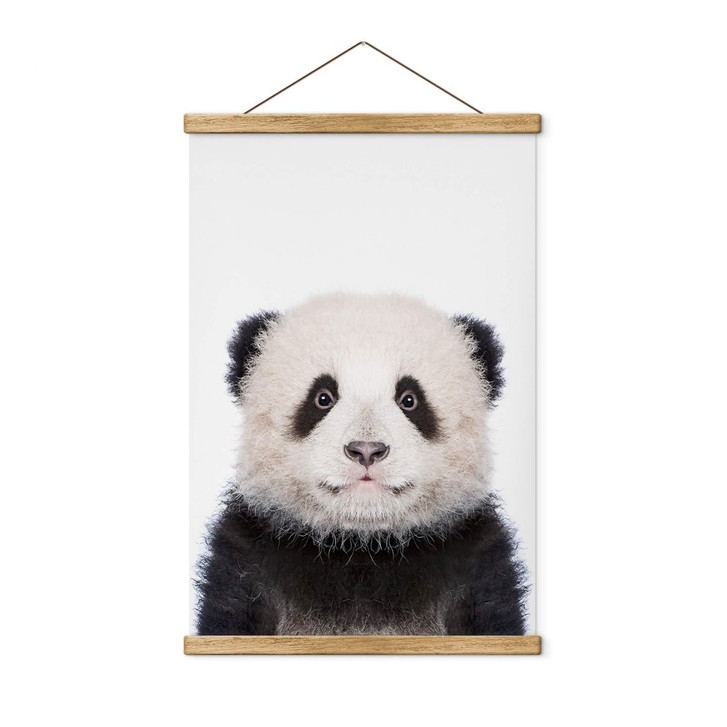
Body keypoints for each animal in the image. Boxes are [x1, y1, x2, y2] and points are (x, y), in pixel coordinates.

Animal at [195, 293, 528, 636]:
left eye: (410, 399)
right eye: (322, 398)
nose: (367, 450)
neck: (362, 547)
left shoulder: (475, 563)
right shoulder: (248, 560)